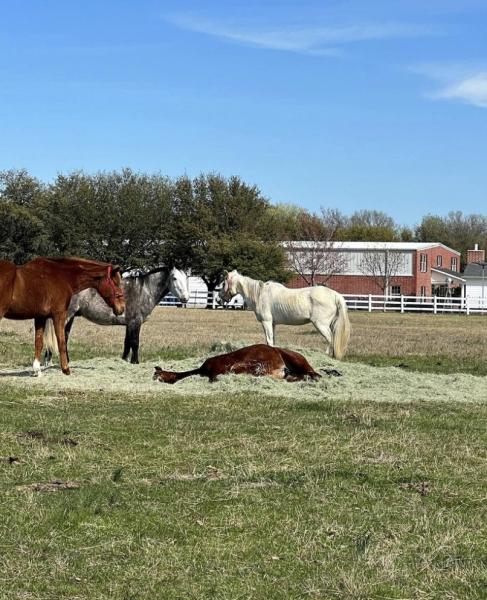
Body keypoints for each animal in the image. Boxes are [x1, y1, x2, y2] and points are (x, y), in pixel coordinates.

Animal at [44, 268, 189, 366]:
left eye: (186, 278)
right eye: (174, 278)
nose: (185, 298)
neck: (144, 290)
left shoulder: (129, 323)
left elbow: (127, 343)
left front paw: (124, 360)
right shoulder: (135, 322)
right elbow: (135, 343)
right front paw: (135, 362)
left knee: (64, 337)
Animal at [220, 270, 350, 358]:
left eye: (223, 283)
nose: (221, 298)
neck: (259, 294)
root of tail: (335, 295)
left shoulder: (266, 322)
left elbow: (269, 340)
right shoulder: (272, 324)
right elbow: (272, 340)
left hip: (320, 325)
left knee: (330, 338)